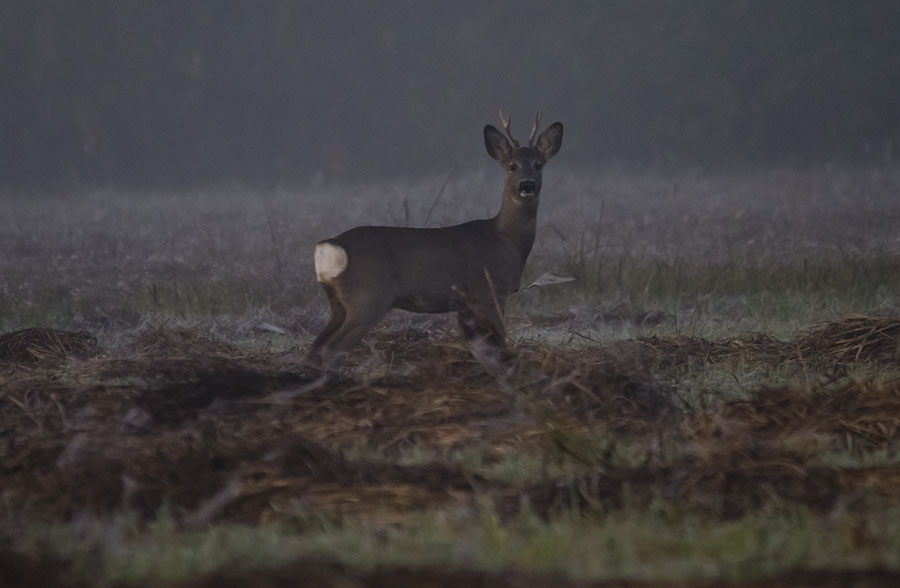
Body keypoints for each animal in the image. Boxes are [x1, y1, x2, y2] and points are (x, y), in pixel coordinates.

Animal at [310, 111, 564, 368]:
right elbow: (501, 345)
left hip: (338, 303)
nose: (527, 184)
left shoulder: (467, 305)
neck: (507, 240)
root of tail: (330, 246)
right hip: (369, 296)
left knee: (315, 348)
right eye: (512, 165)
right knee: (332, 349)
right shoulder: (490, 290)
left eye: (538, 164)